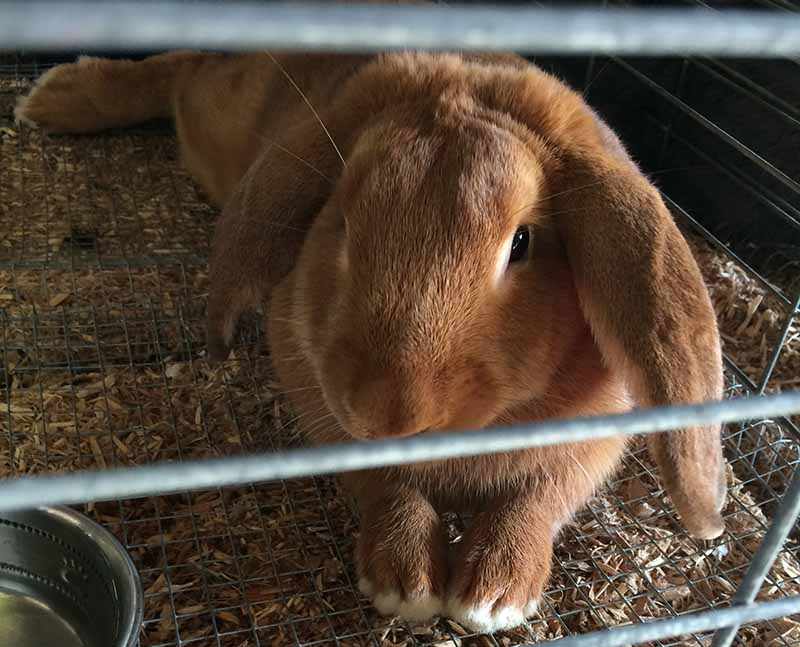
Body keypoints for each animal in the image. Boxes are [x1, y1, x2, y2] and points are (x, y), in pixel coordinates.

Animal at [16, 45, 727, 633]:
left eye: (522, 243)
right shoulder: (319, 401)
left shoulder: (591, 441)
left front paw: (494, 594)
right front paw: (405, 581)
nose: (388, 413)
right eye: (343, 223)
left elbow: (536, 498)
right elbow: (383, 484)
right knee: (179, 69)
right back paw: (56, 99)